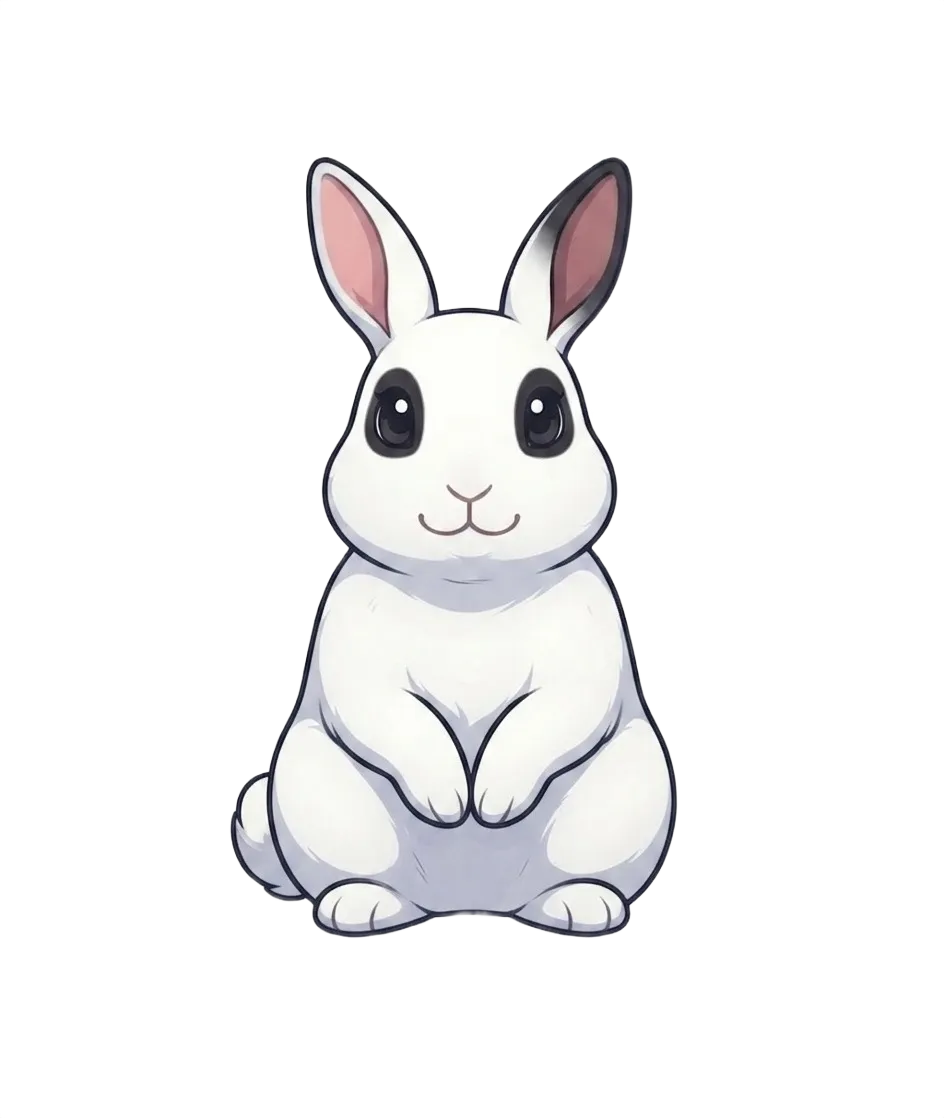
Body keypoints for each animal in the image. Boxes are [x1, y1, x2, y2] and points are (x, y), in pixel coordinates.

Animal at [231, 155, 677, 937]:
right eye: (394, 416)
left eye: (544, 417)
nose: (469, 489)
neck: (471, 599)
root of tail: (469, 901)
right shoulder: (355, 659)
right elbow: (391, 717)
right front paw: (450, 801)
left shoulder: (584, 661)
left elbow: (552, 716)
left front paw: (490, 801)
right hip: (315, 793)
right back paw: (359, 906)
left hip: (629, 792)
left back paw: (581, 906)